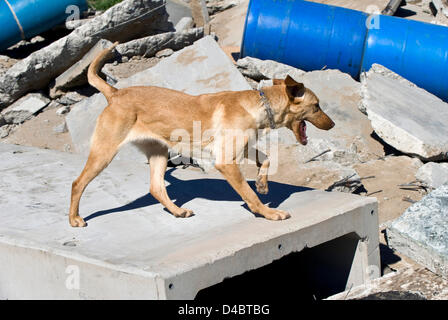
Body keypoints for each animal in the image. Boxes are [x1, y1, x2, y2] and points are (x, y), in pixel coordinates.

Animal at [70, 43, 334, 228]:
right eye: (317, 106)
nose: (332, 124)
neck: (259, 104)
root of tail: (114, 93)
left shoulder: (244, 147)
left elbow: (266, 158)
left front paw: (262, 183)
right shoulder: (226, 162)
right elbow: (249, 195)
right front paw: (269, 213)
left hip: (158, 153)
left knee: (156, 188)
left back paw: (177, 211)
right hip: (104, 152)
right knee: (77, 183)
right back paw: (74, 219)